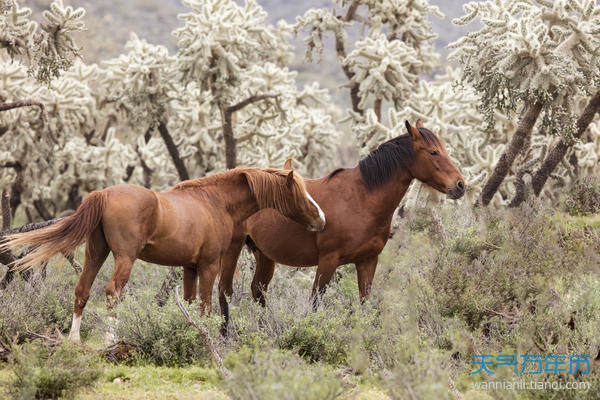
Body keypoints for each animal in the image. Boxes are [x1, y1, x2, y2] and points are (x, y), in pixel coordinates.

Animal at [2, 166, 326, 340]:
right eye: (300, 192)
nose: (322, 220)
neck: (215, 202)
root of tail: (103, 194)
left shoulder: (189, 268)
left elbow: (189, 302)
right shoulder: (209, 265)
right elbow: (206, 305)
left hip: (95, 254)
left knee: (82, 290)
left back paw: (74, 338)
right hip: (124, 258)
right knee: (112, 292)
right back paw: (110, 337)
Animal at [213, 119, 466, 332]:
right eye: (433, 152)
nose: (460, 185)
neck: (361, 199)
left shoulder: (367, 261)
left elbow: (364, 302)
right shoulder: (328, 261)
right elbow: (315, 302)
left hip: (264, 255)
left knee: (258, 291)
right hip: (233, 251)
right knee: (225, 291)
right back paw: (225, 335)